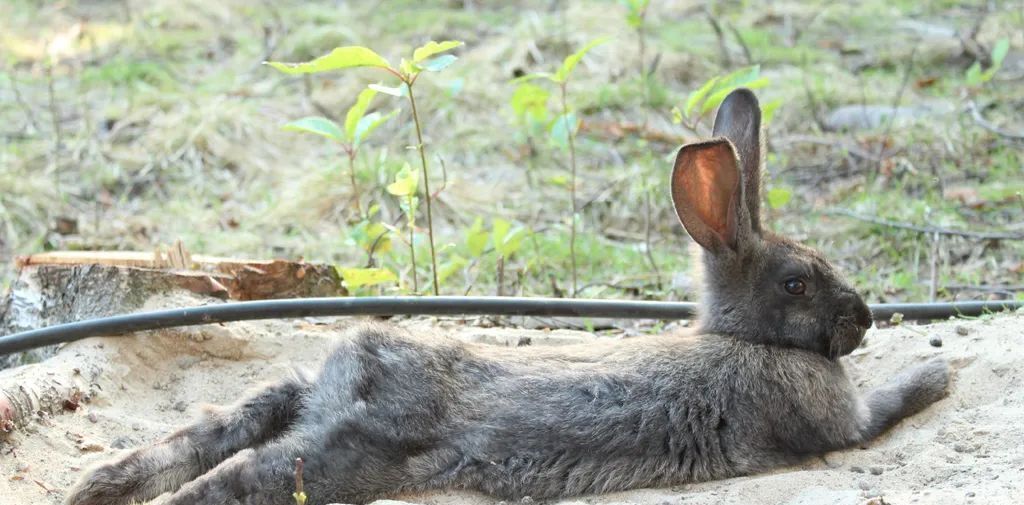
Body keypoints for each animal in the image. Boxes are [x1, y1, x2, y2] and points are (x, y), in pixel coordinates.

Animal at [64, 90, 946, 503]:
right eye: (798, 281)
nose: (863, 319)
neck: (747, 338)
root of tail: (353, 374)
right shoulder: (839, 423)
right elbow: (882, 408)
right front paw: (936, 377)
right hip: (345, 454)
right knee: (243, 475)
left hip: (297, 405)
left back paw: (97, 486)